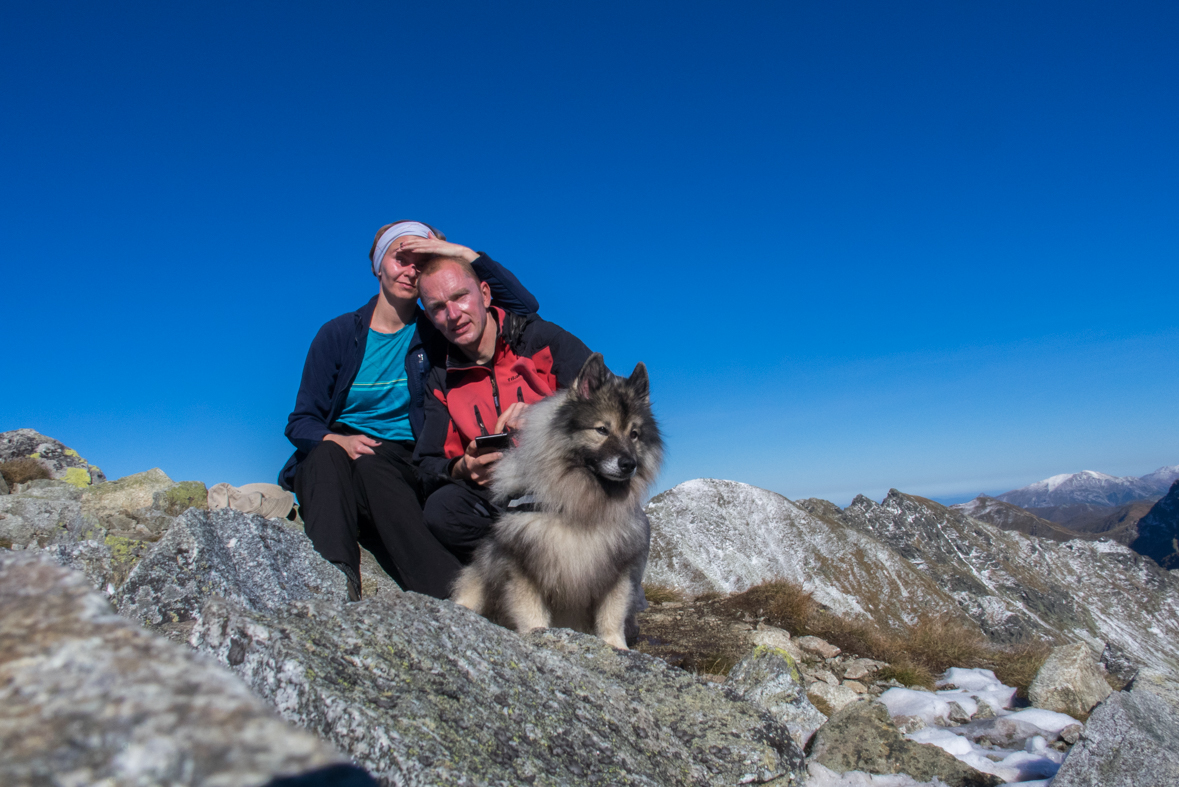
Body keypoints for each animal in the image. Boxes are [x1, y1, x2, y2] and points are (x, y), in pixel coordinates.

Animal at [448, 353, 664, 650]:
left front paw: (618, 648)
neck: (581, 505)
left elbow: (612, 617)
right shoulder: (522, 566)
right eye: (602, 429)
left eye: (634, 434)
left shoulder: (617, 571)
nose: (628, 464)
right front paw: (538, 636)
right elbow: (531, 614)